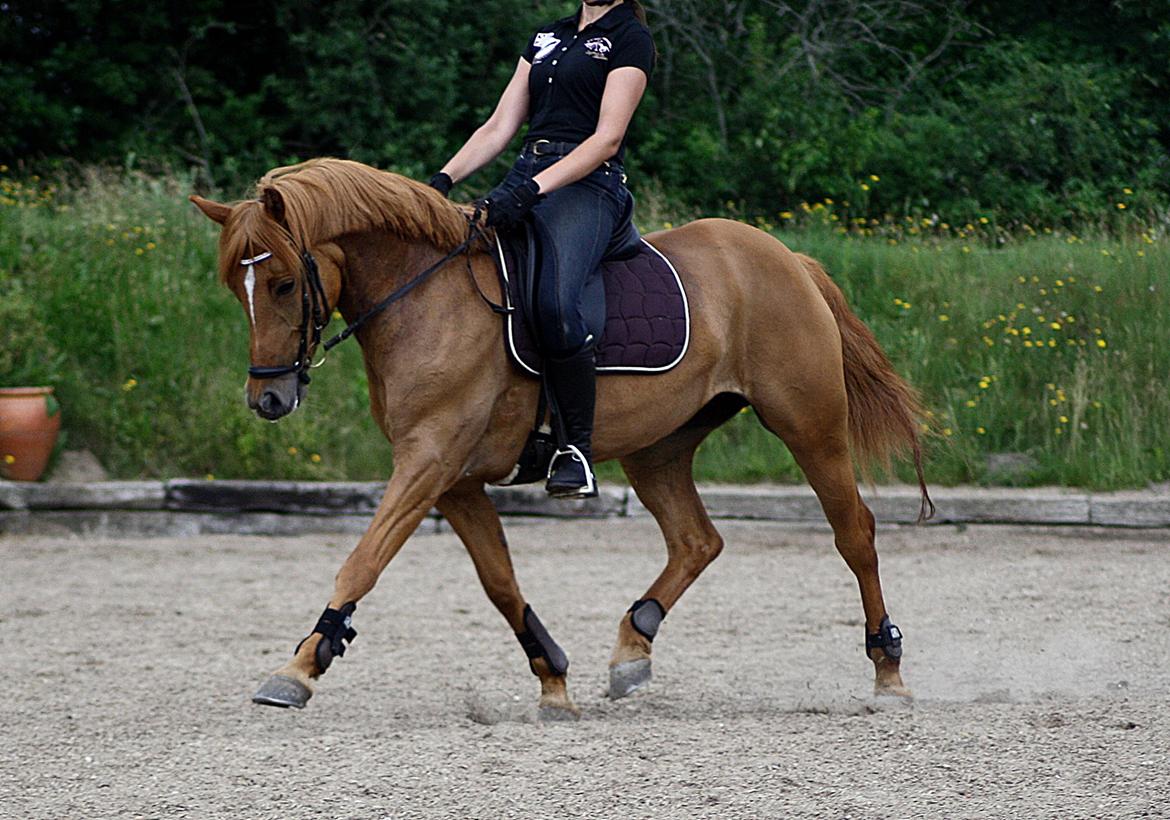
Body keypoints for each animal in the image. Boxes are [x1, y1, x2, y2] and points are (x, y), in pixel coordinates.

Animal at [189, 155, 931, 715]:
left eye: (284, 284)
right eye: (235, 287)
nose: (268, 399)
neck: (424, 299)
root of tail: (787, 259)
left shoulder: (429, 462)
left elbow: (363, 560)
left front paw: (298, 668)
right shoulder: (453, 480)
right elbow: (498, 581)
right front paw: (553, 679)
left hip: (809, 424)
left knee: (854, 534)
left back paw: (888, 671)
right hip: (657, 448)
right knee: (698, 540)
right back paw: (632, 649)